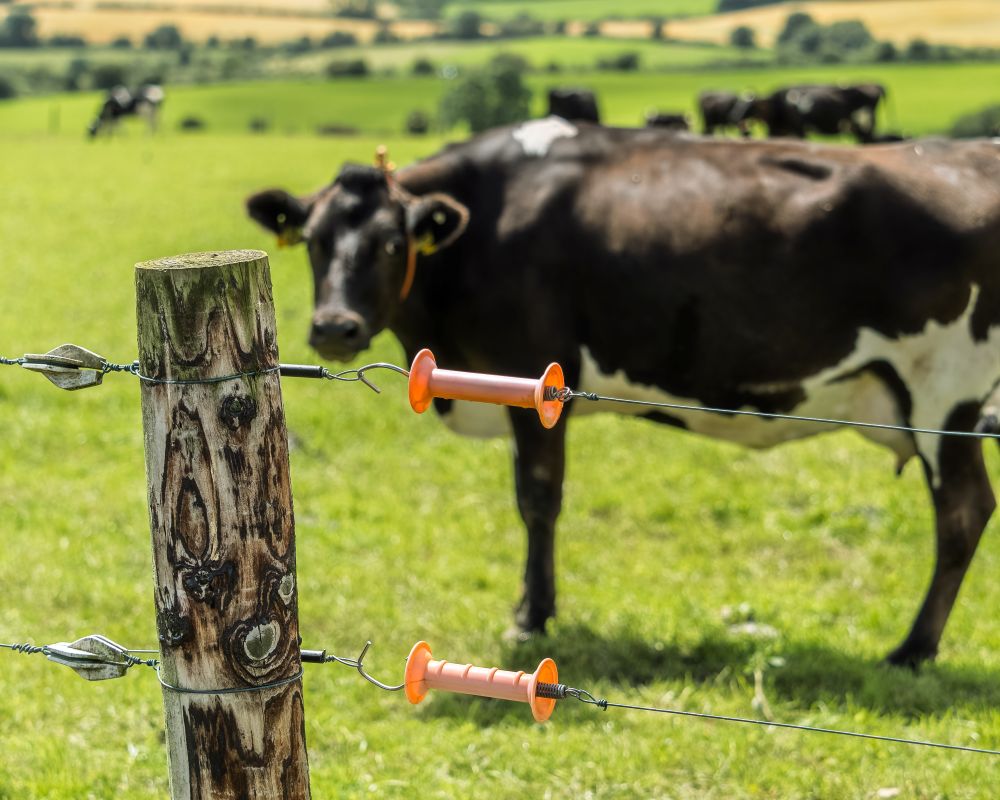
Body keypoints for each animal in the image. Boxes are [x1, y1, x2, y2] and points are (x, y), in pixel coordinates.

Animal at [246, 119, 1000, 667]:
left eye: (390, 243)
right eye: (313, 241)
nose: (334, 326)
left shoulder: (534, 375)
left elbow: (538, 499)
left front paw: (533, 617)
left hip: (944, 394)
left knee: (963, 513)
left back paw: (912, 650)